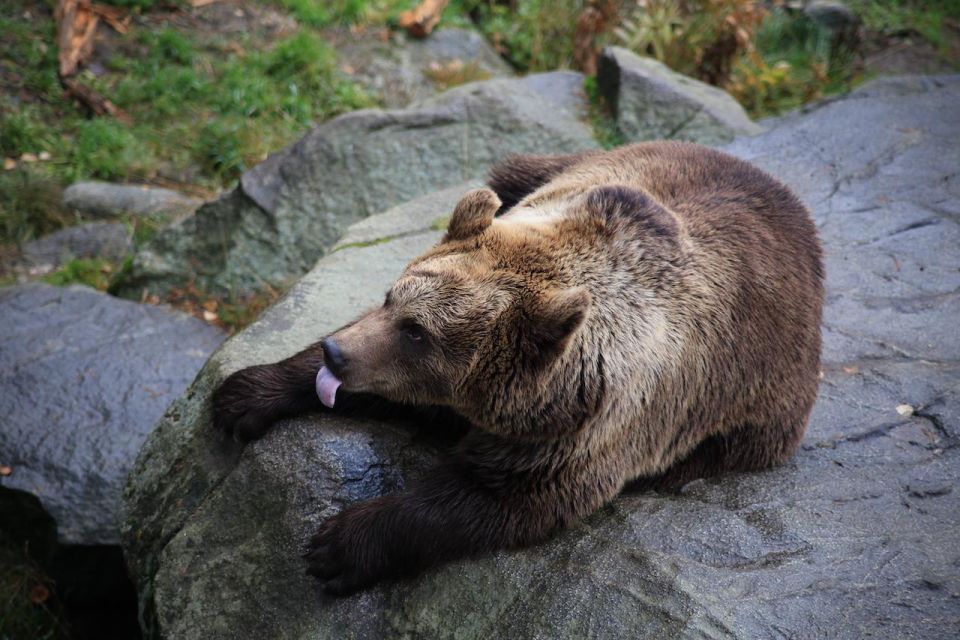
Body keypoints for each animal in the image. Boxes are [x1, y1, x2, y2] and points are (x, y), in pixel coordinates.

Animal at [214, 140, 820, 596]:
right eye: (391, 298)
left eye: (418, 333)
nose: (336, 354)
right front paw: (244, 395)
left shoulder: (588, 429)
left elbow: (494, 498)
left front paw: (337, 546)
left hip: (756, 414)